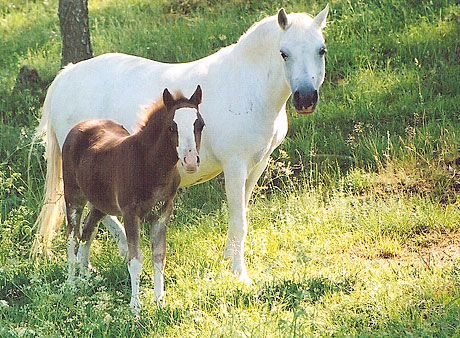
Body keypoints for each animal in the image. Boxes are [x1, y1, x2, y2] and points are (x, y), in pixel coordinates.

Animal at [33, 5, 328, 286]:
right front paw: (240, 275)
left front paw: (229, 260)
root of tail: (67, 75)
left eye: (321, 50)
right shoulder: (235, 166)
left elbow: (241, 215)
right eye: (284, 53)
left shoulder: (256, 166)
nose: (305, 99)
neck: (246, 86)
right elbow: (239, 221)